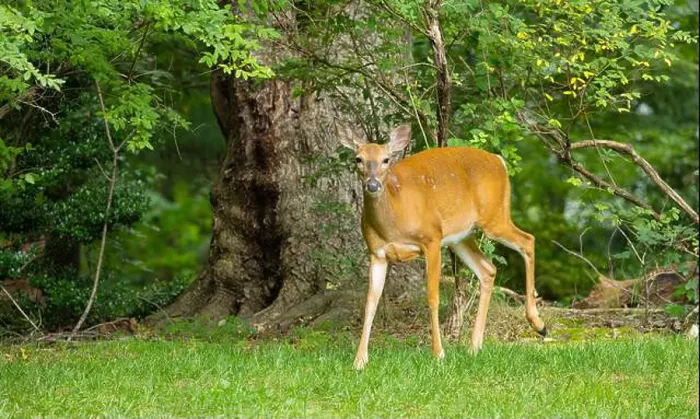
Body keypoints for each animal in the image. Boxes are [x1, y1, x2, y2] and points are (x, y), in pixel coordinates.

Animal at [339, 124, 547, 370]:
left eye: (386, 159)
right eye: (358, 159)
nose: (372, 185)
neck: (394, 218)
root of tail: (499, 161)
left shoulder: (432, 239)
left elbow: (433, 297)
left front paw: (439, 353)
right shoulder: (377, 253)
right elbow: (370, 302)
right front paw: (359, 360)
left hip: (494, 216)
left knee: (528, 240)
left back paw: (538, 323)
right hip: (461, 236)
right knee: (488, 269)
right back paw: (474, 346)